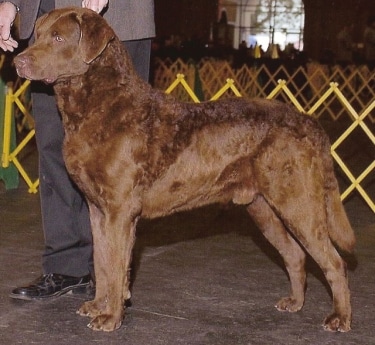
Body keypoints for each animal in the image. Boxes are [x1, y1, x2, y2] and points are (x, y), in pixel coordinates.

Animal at [13, 7, 356, 330]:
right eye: (37, 35)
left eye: (58, 38)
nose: (17, 61)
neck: (100, 107)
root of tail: (309, 122)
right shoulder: (98, 210)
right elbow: (102, 261)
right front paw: (99, 306)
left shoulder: (120, 211)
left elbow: (116, 266)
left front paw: (110, 317)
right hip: (263, 207)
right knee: (295, 254)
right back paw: (294, 302)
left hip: (298, 202)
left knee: (334, 261)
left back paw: (339, 318)